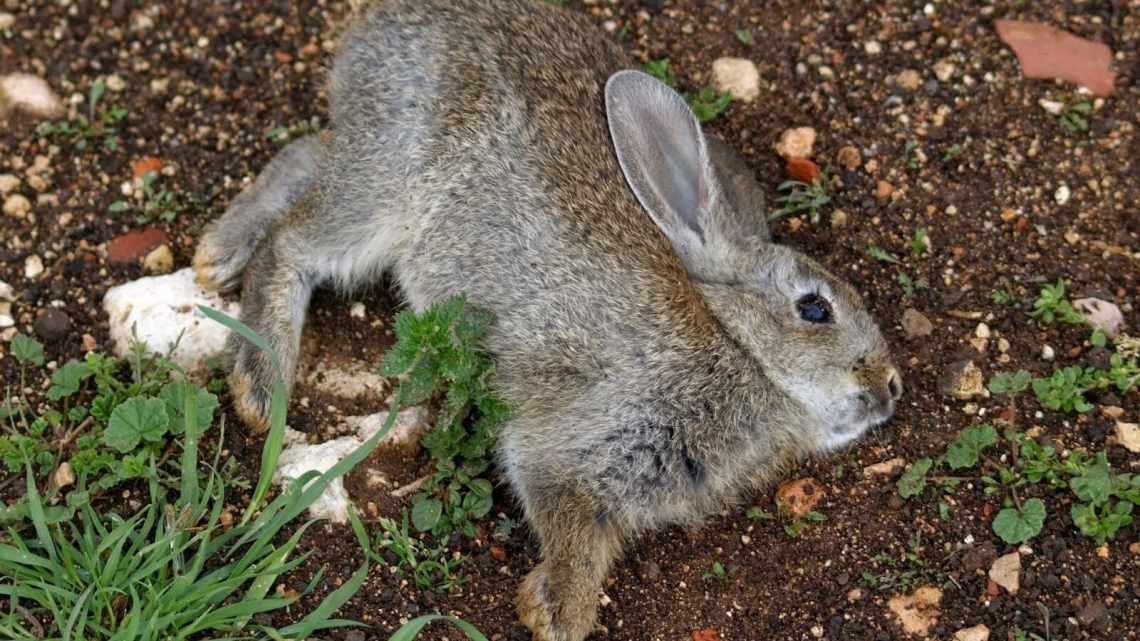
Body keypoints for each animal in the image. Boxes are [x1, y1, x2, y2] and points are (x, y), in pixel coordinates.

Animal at [196, 1, 902, 638]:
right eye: (815, 308)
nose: (891, 387)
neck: (739, 346)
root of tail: (384, 21)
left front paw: (554, 606)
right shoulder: (571, 441)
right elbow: (567, 525)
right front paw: (559, 613)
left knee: (308, 153)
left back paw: (217, 254)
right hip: (383, 195)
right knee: (293, 241)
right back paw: (259, 379)